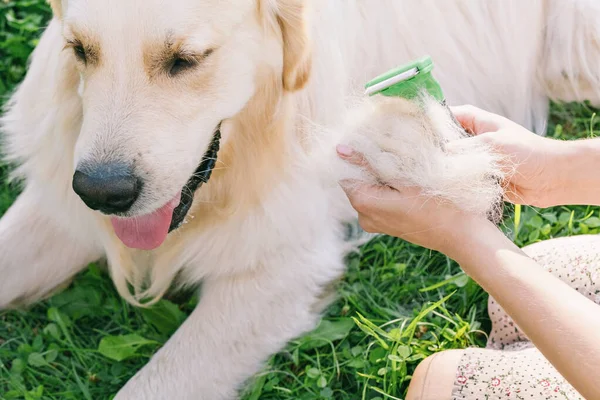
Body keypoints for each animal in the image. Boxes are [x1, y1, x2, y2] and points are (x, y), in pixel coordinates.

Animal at [1, 0, 600, 398]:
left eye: (186, 59)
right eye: (80, 51)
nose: (102, 193)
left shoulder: (283, 267)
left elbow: (151, 386)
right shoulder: (59, 205)